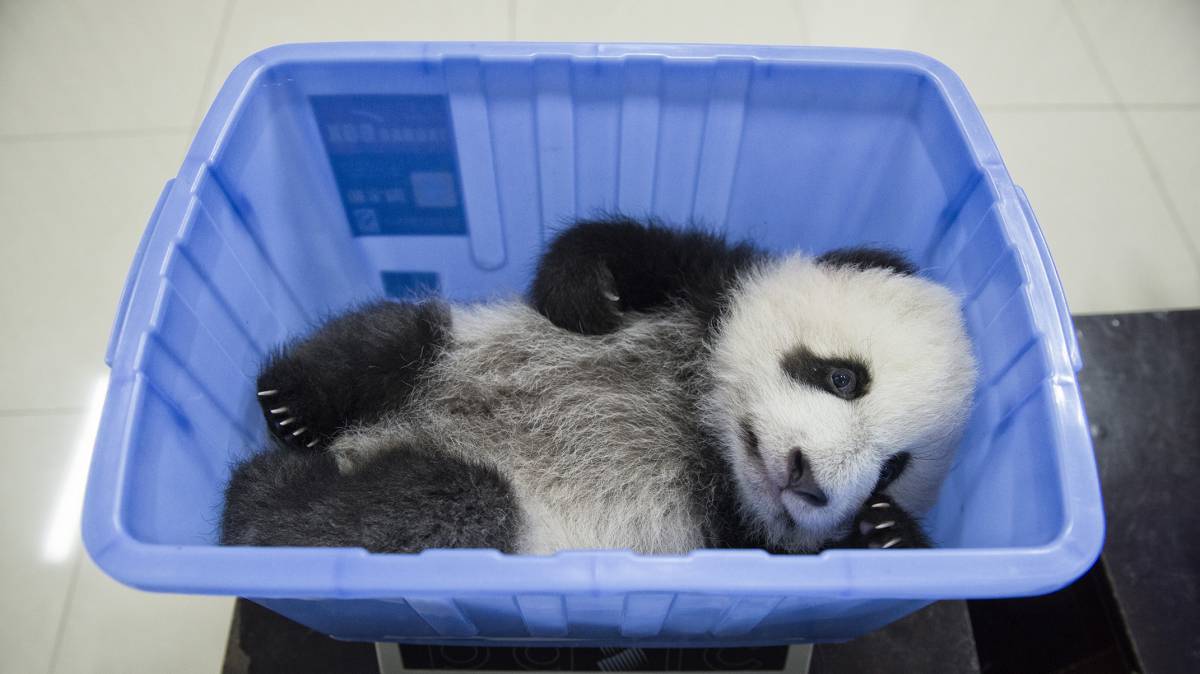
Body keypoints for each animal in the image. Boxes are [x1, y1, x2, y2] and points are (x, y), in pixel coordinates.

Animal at [220, 217, 978, 555]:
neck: (707, 433)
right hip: (453, 343)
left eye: (891, 470)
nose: (807, 479)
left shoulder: (735, 540)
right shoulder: (708, 282)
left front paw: (888, 533)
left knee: (431, 506)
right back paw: (290, 410)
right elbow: (619, 244)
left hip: (496, 515)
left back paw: (266, 487)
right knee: (387, 341)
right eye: (842, 377)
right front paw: (589, 295)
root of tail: (367, 444)